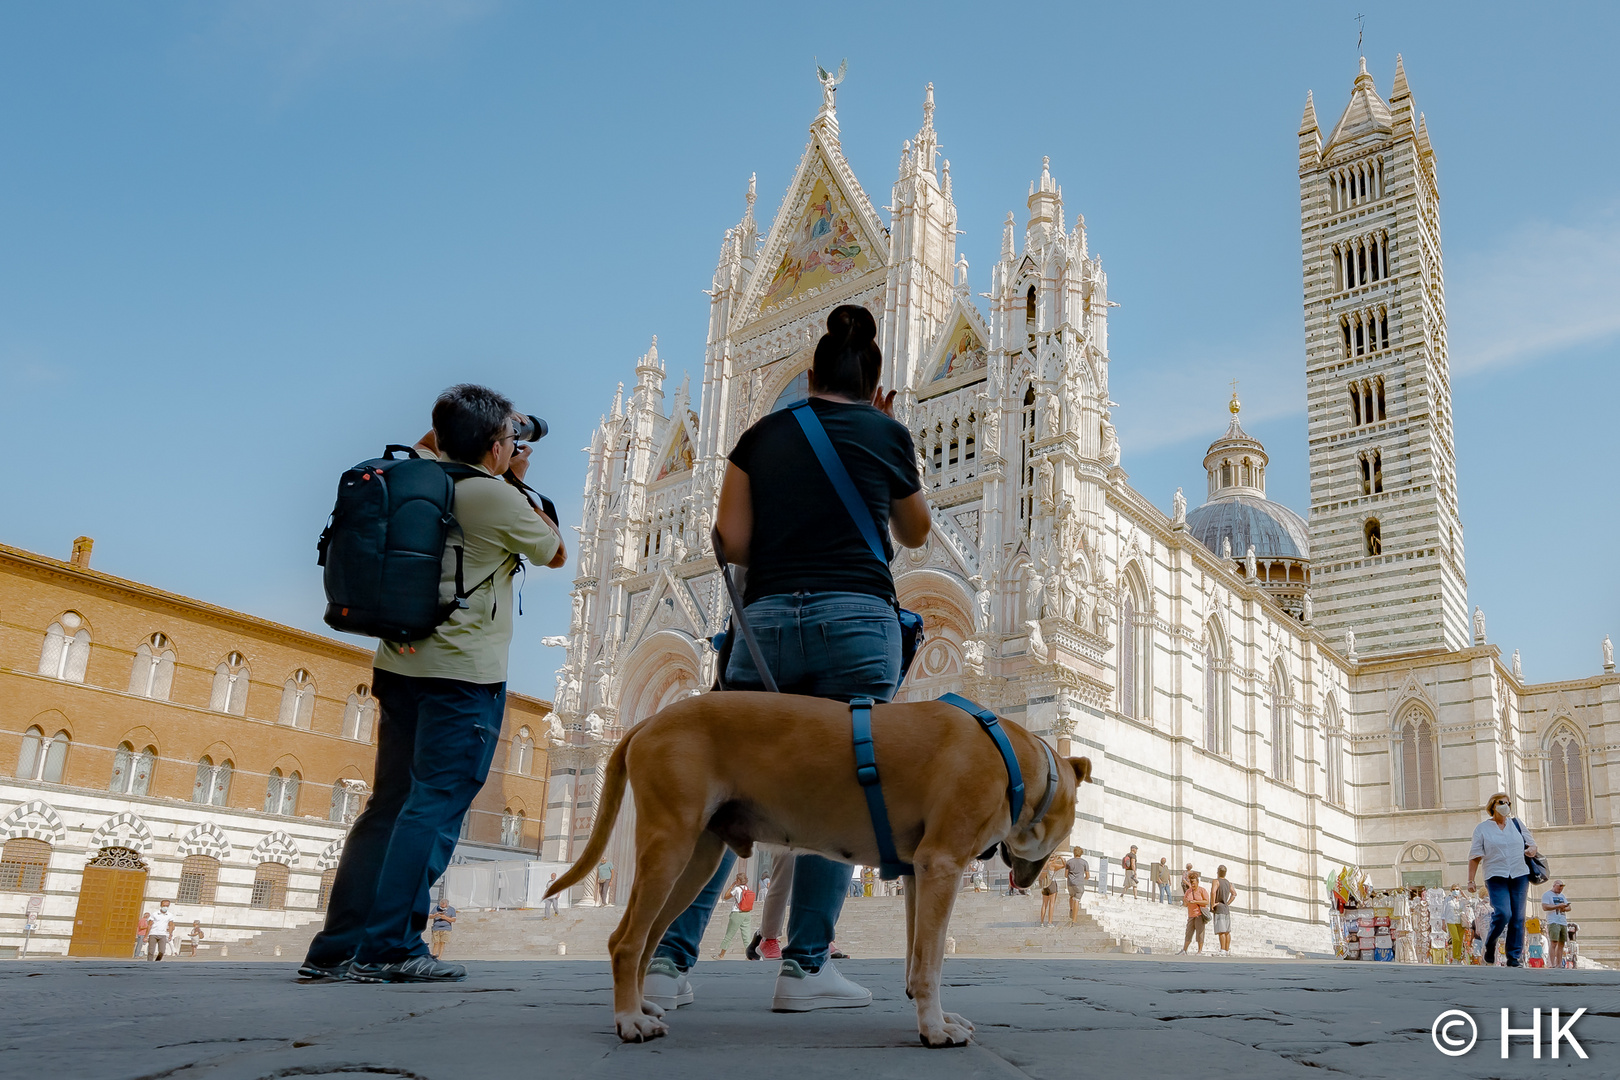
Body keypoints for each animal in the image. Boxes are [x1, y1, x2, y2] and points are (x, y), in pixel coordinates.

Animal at [550, 693, 1095, 1049]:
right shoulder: (943, 865)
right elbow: (934, 961)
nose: (1032, 882)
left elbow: (918, 958)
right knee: (625, 940)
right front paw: (935, 1029)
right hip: (670, 846)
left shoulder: (919, 873)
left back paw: (641, 1006)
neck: (1016, 760)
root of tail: (646, 723)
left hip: (696, 860)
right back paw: (628, 1020)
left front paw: (927, 1015)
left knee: (646, 939)